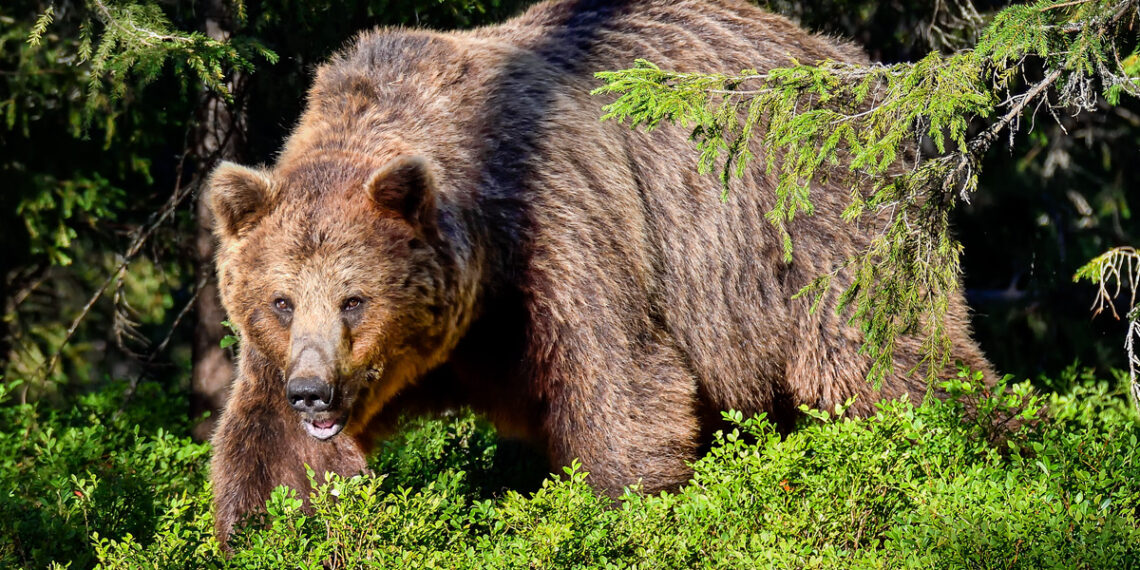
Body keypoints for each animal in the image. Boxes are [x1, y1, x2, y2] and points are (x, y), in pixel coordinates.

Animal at [206, 0, 995, 543]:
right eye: (280, 301)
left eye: (354, 299)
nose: (313, 391)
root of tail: (853, 65)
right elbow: (270, 454)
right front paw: (262, 530)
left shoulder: (561, 225)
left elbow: (623, 390)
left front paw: (622, 516)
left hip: (809, 224)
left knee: (894, 361)